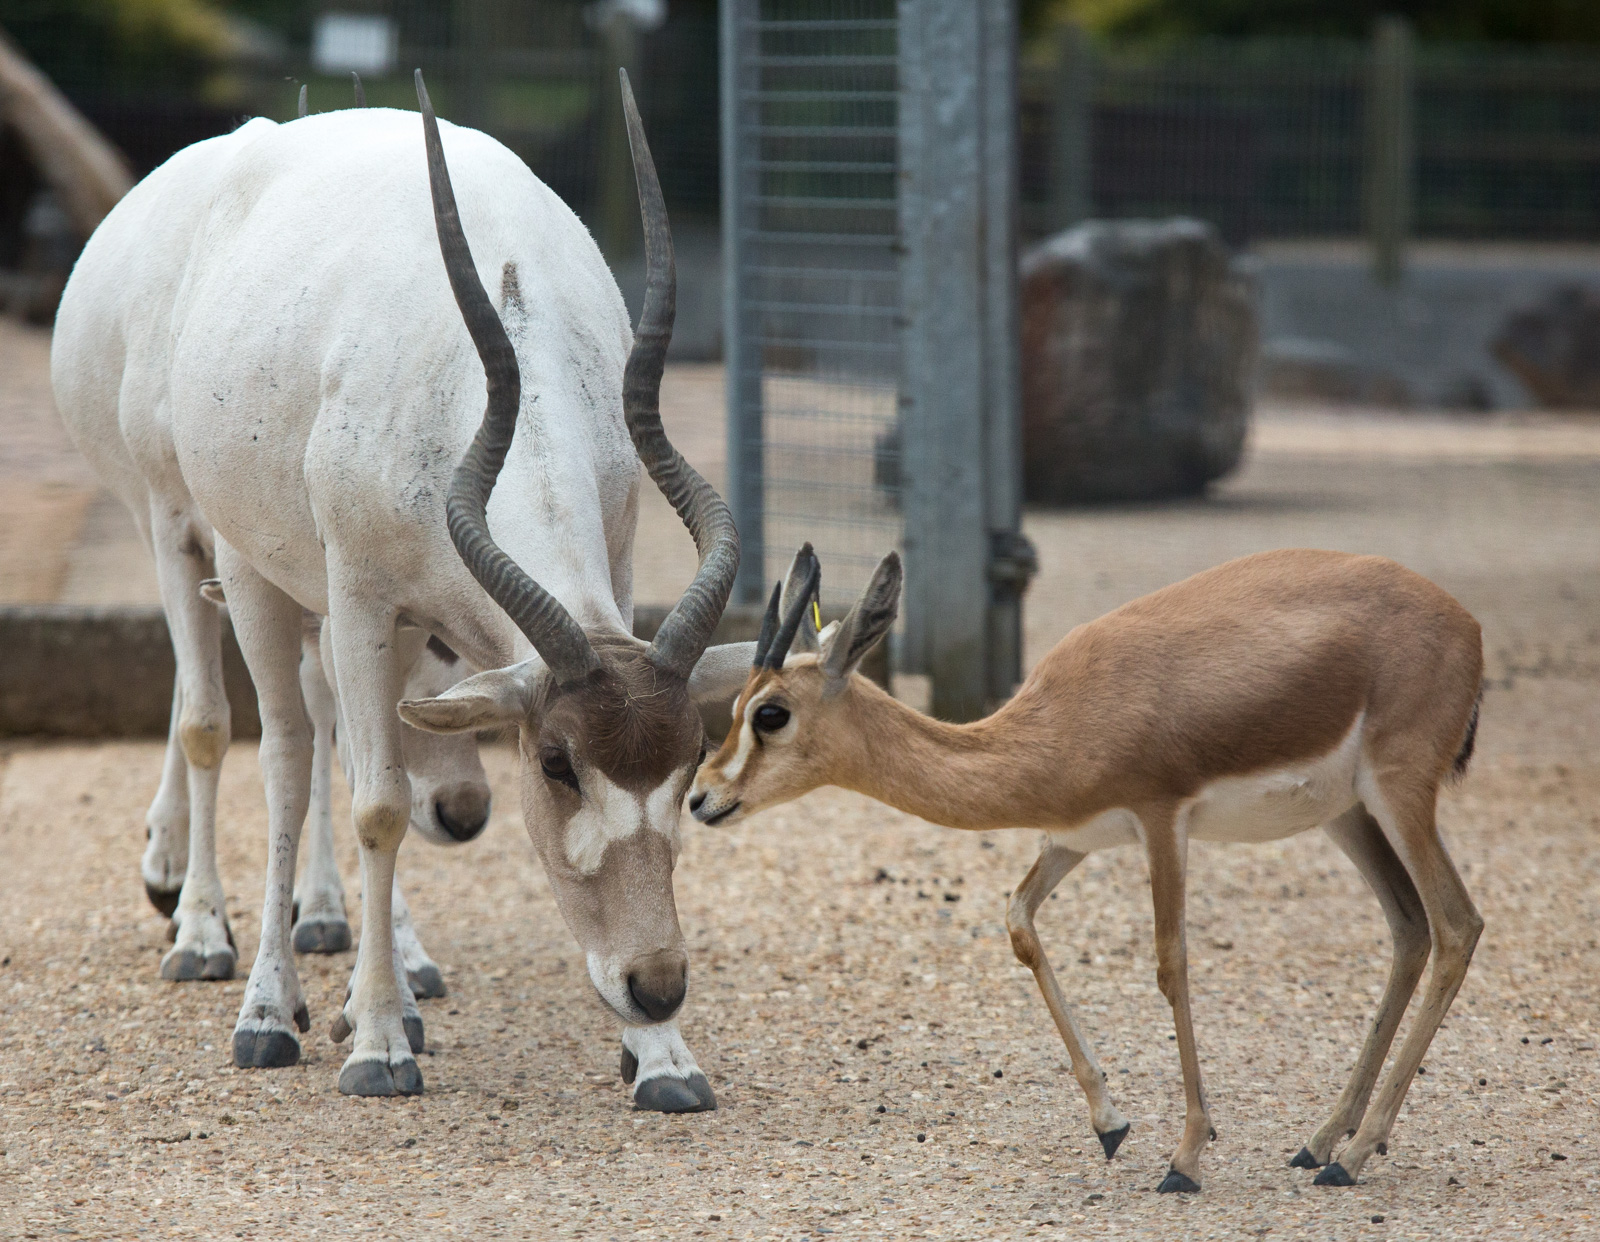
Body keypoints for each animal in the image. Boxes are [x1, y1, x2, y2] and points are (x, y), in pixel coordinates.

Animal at [51, 72, 753, 1106]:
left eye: (692, 754)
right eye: (555, 763)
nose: (656, 984)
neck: (510, 309)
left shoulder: (611, 572)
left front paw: (663, 1059)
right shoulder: (360, 597)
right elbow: (374, 803)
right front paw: (377, 1044)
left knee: (313, 732)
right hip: (205, 543)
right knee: (253, 738)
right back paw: (235, 969)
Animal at [691, 545, 1485, 1192]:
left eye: (770, 713)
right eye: (736, 704)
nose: (702, 797)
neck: (1060, 726)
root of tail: (1467, 624)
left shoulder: (1163, 820)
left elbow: (1171, 964)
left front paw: (1185, 1159)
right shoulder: (1073, 838)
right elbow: (1018, 920)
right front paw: (1111, 1126)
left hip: (1398, 792)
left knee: (1456, 925)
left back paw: (1351, 1157)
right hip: (1347, 814)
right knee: (1409, 928)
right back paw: (1321, 1144)